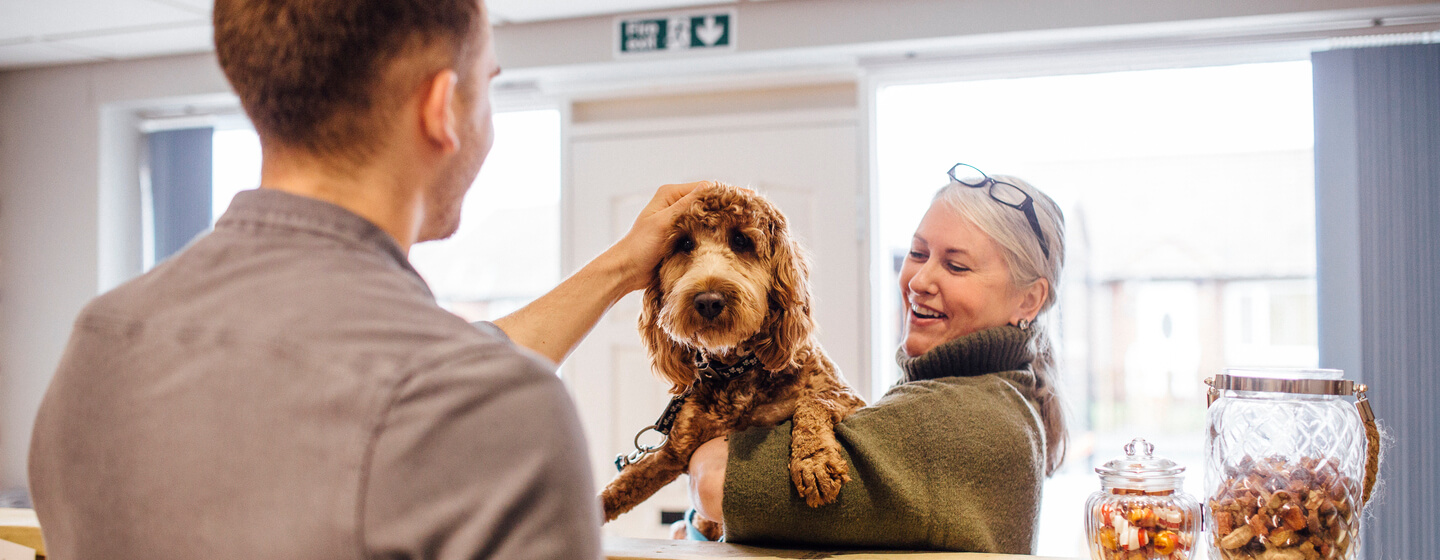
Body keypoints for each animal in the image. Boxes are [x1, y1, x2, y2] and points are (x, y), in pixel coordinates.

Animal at [599, 183, 864, 535]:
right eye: (684, 244)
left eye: (741, 241)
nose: (708, 301)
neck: (735, 368)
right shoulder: (675, 452)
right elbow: (620, 488)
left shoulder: (849, 398)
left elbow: (813, 402)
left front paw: (813, 461)